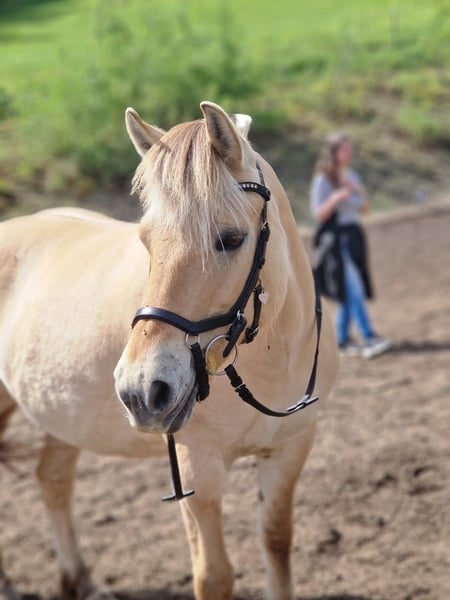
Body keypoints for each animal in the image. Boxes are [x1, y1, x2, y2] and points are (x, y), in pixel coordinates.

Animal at [0, 101, 338, 600]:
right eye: (146, 241)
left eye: (231, 238)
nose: (142, 390)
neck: (271, 363)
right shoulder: (199, 469)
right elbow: (214, 576)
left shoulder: (289, 450)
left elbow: (277, 542)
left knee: (53, 480)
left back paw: (81, 580)